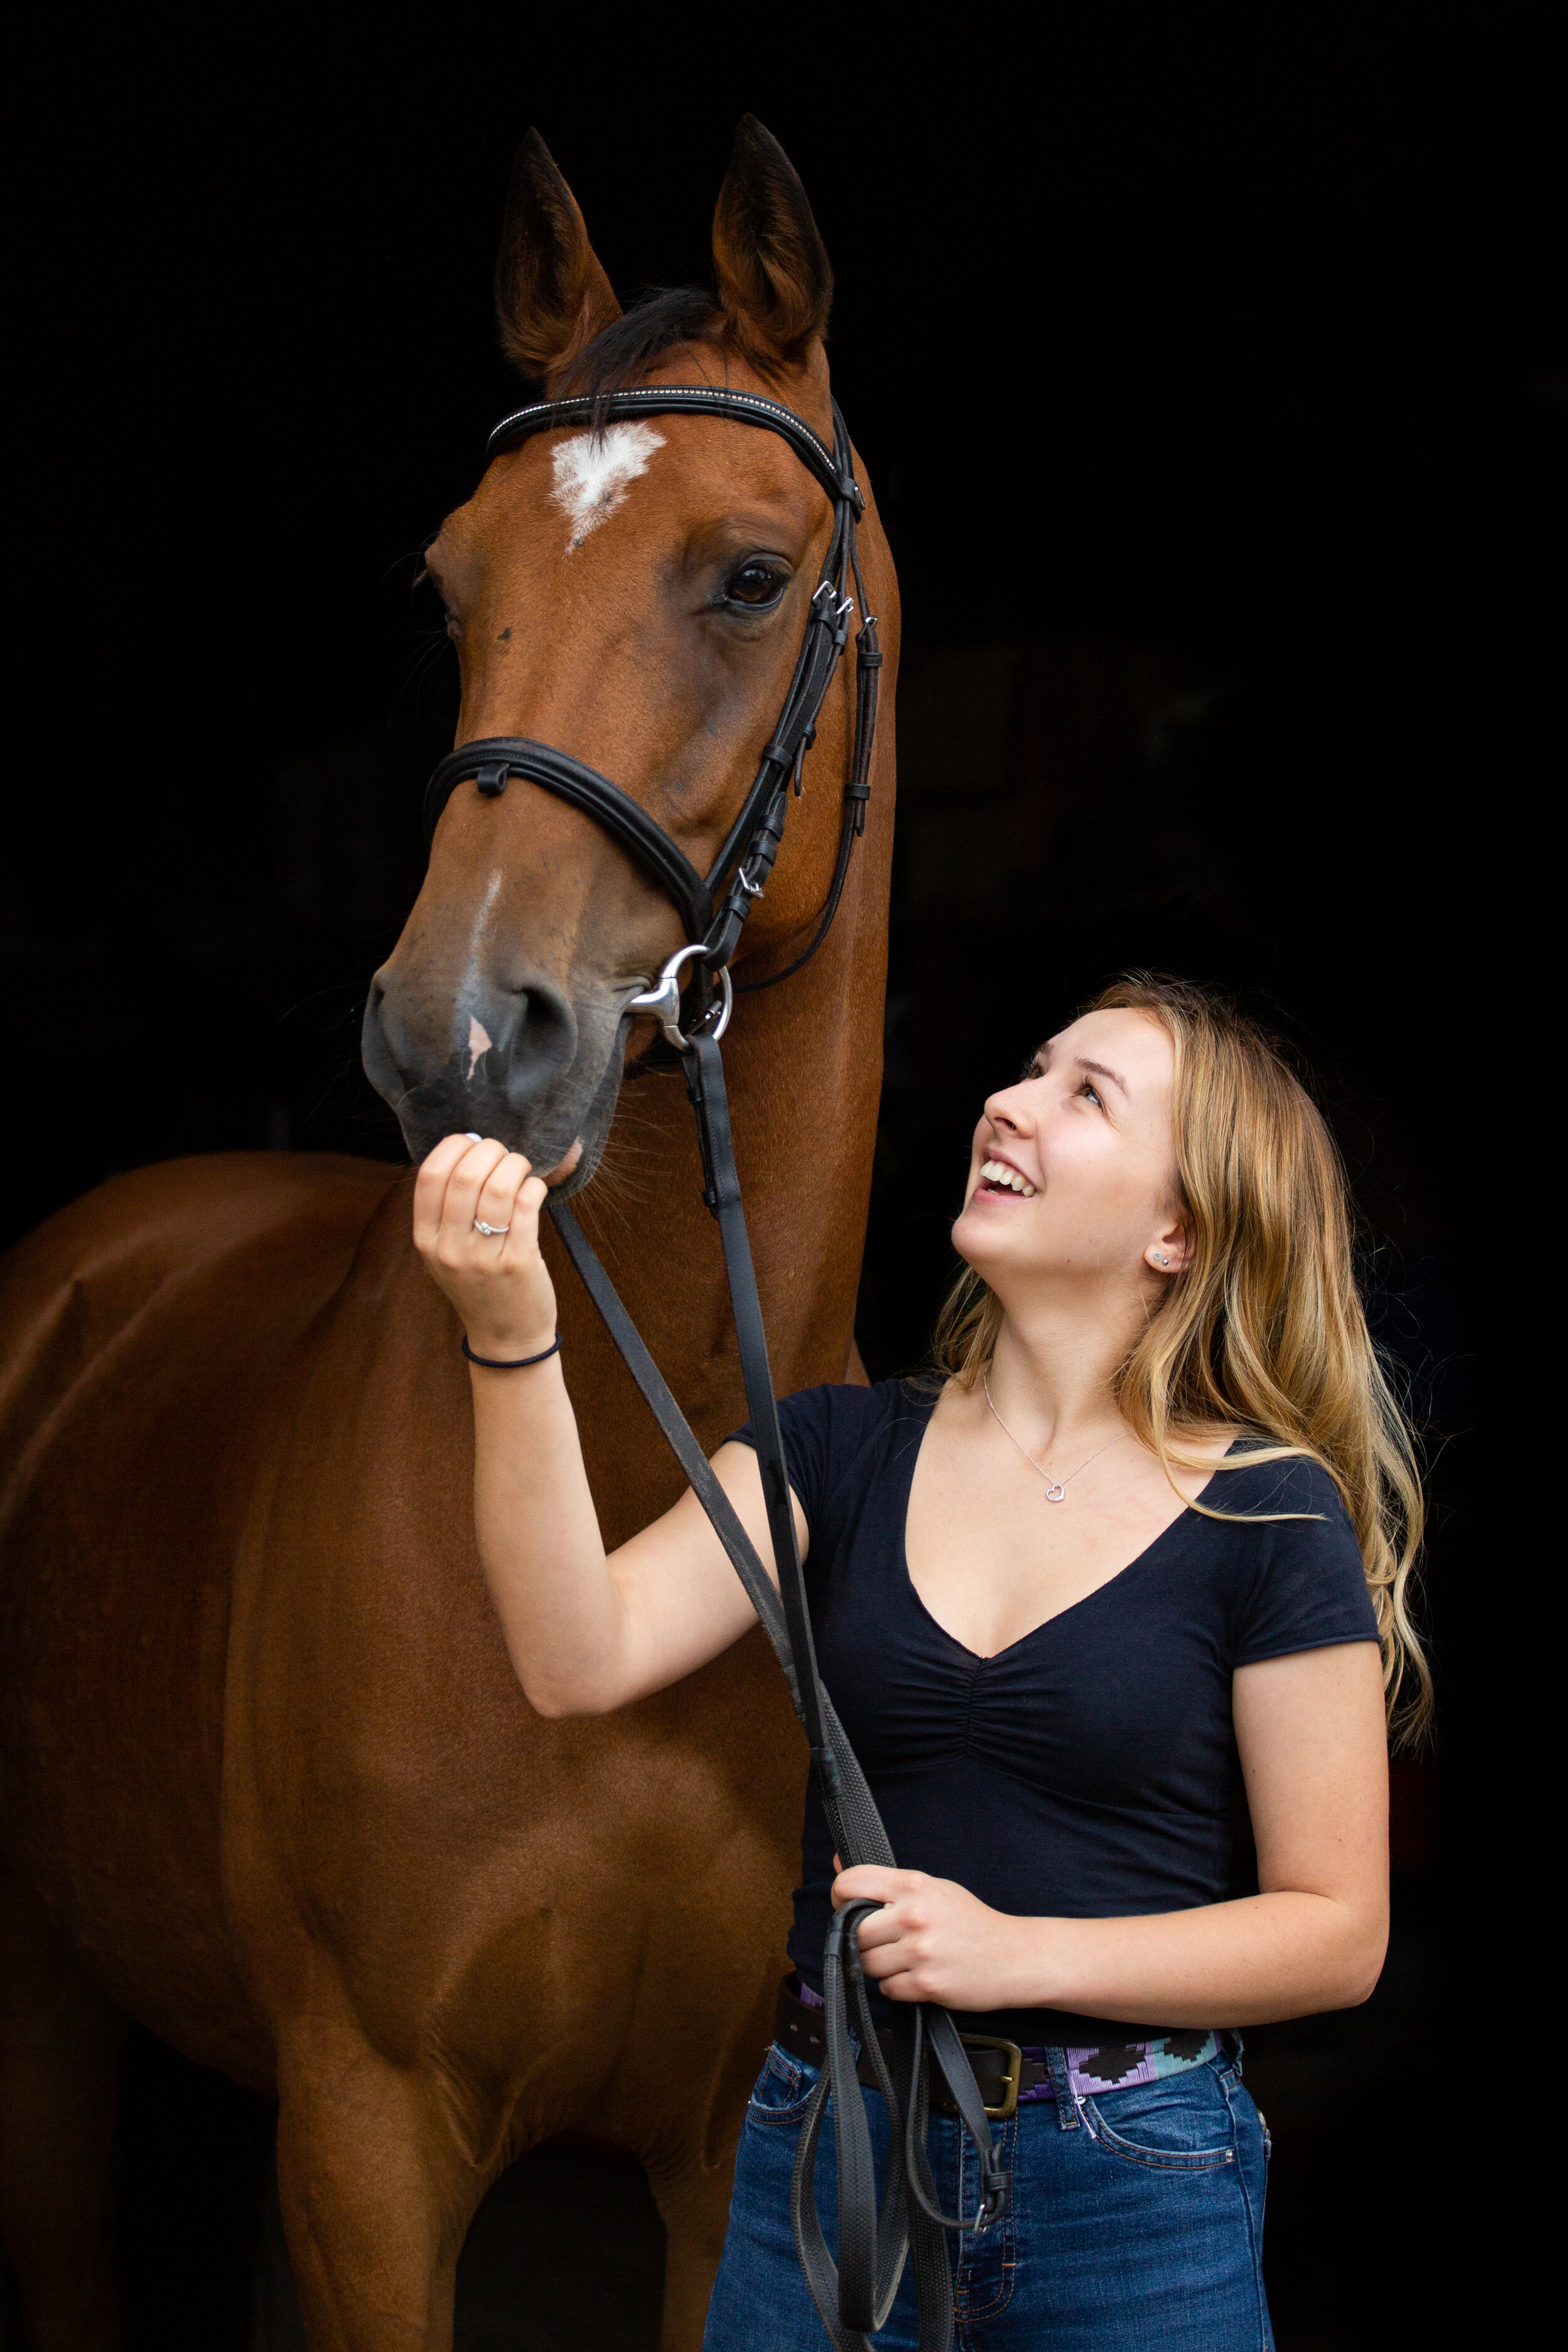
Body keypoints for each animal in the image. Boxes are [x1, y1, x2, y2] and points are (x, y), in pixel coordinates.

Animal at [0, 124, 903, 2352]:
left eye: (748, 576)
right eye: (449, 583)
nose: (457, 1032)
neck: (616, 1492)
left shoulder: (722, 2146)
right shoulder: (372, 2134)